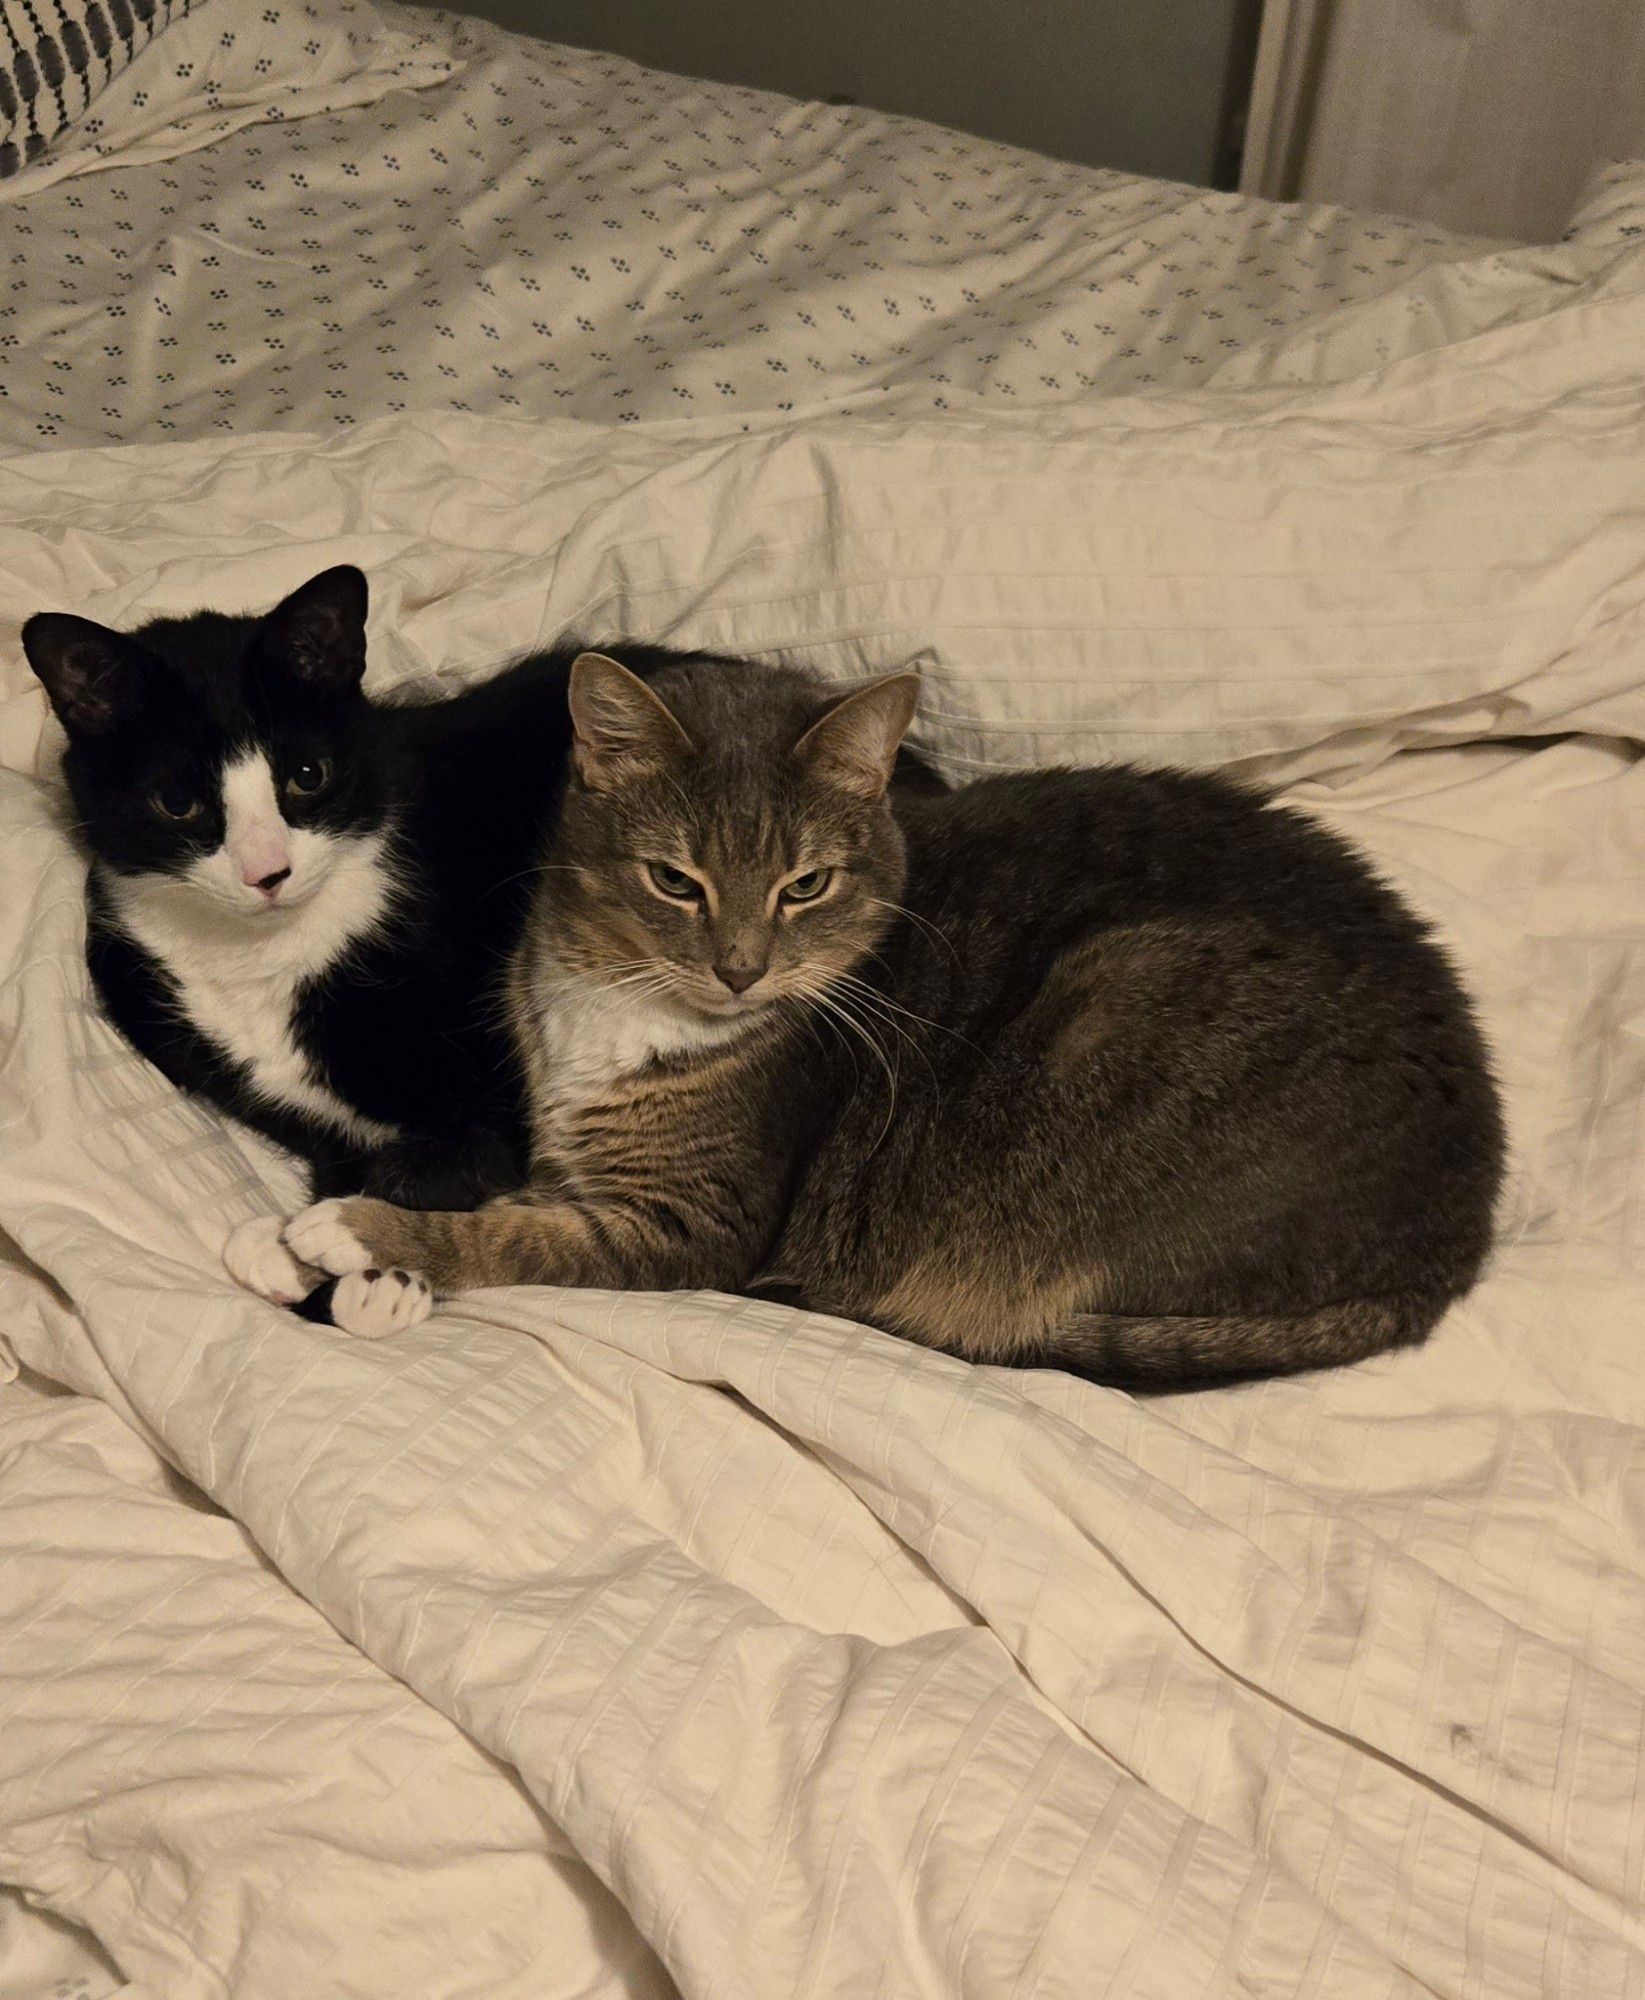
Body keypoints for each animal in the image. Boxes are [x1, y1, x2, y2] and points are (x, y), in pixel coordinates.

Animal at [270, 648, 1504, 1384]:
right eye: (675, 880)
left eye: (804, 885)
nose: (739, 970)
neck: (616, 1001)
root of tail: (1455, 1240)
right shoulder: (569, 1148)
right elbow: (506, 1192)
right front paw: (306, 1254)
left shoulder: (693, 1225)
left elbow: (518, 1232)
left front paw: (353, 1238)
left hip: (1120, 1012)